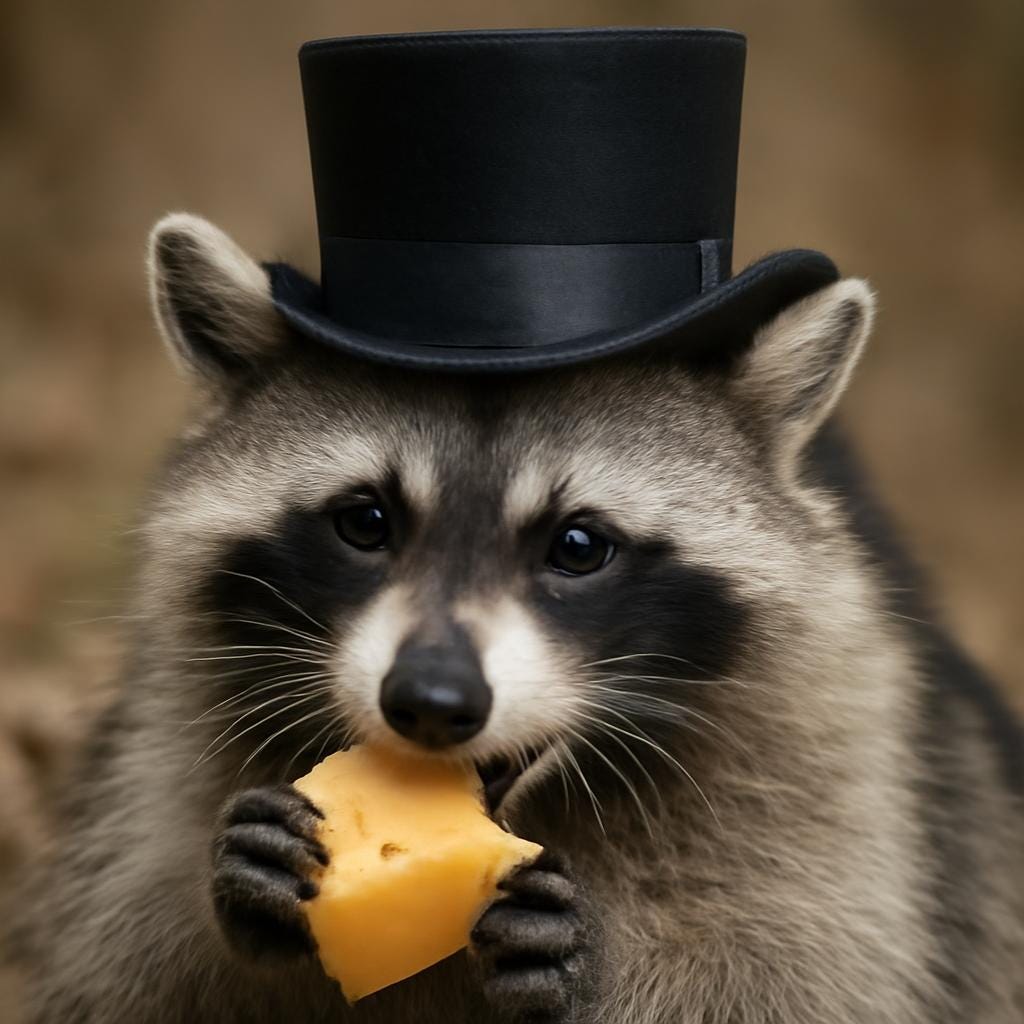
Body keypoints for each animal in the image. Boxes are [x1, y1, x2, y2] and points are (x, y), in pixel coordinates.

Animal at [18, 213, 1023, 1023]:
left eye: (577, 546)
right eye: (366, 522)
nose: (431, 700)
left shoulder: (833, 793)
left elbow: (790, 978)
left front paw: (604, 967)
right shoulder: (153, 770)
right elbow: (130, 959)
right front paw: (239, 911)